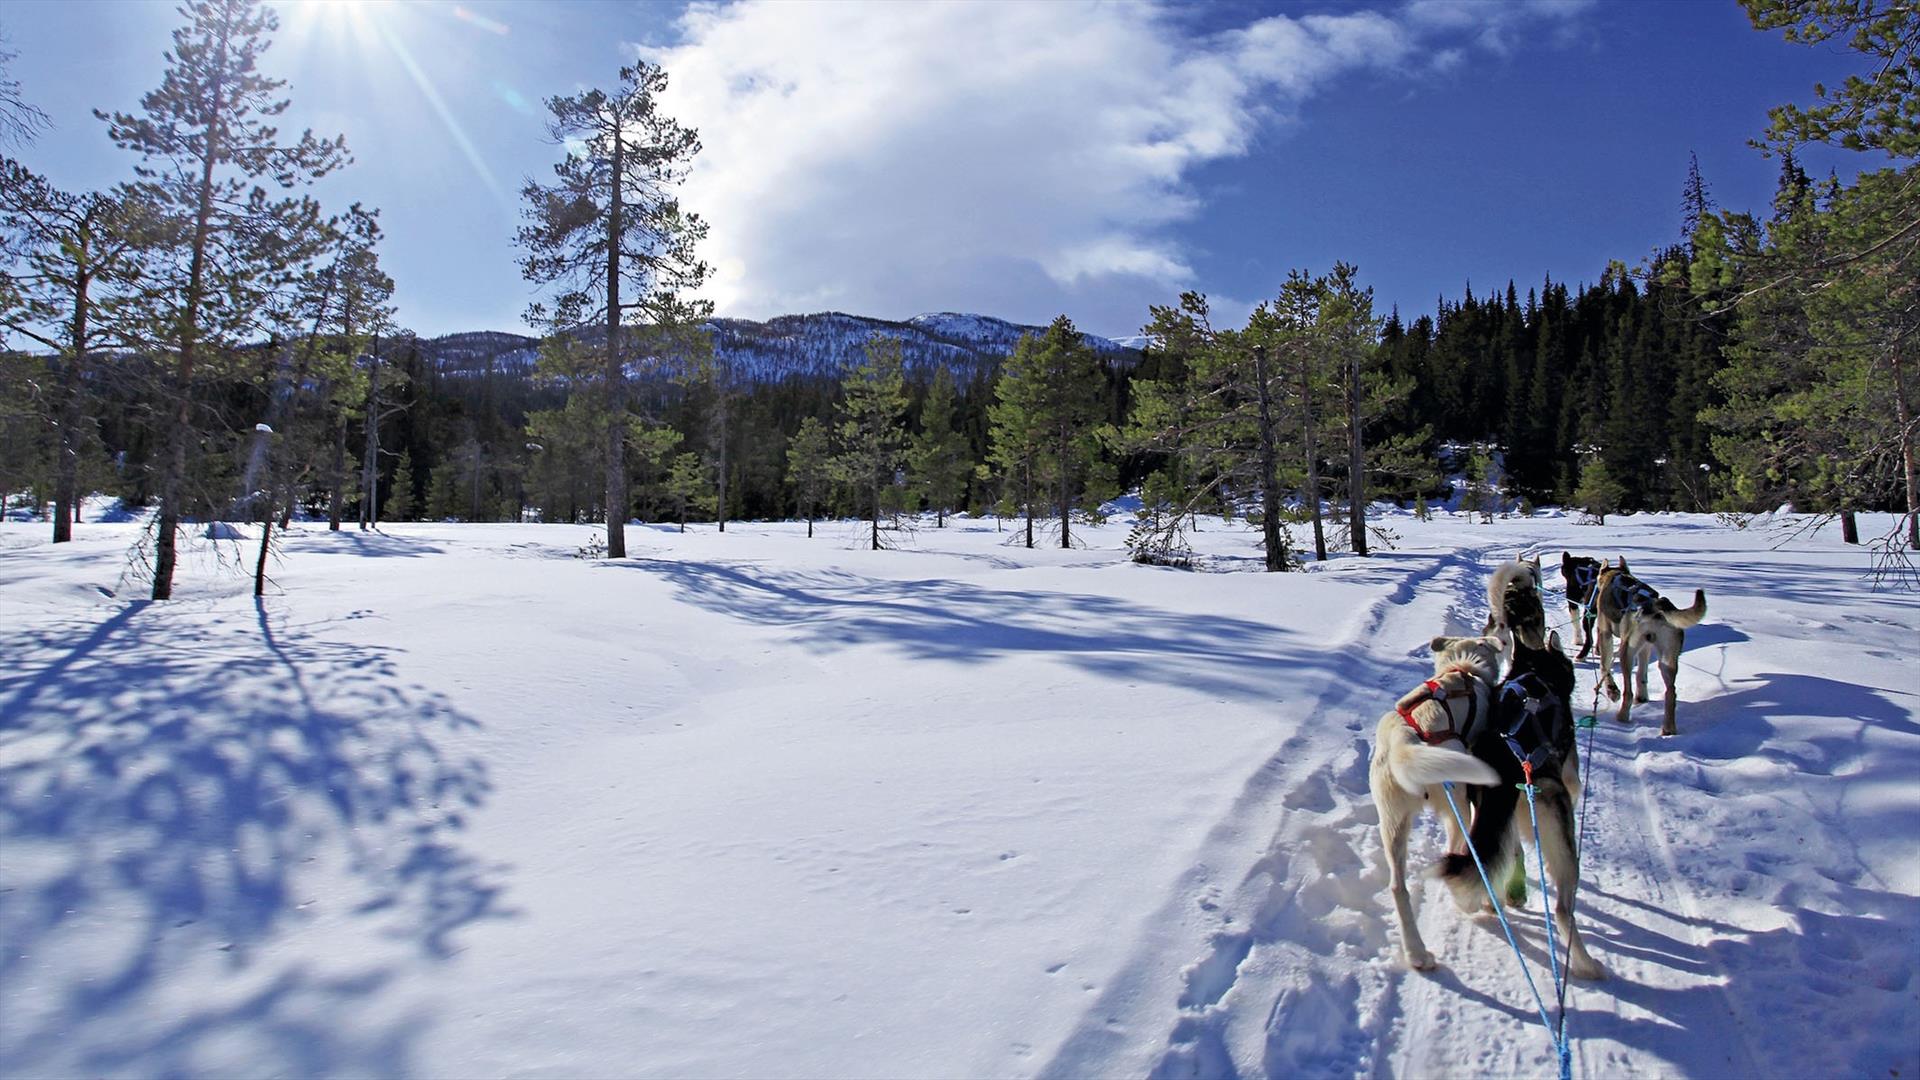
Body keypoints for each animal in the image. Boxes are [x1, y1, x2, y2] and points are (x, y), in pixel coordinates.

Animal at [1374, 630, 1505, 968]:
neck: (1462, 669)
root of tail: (1405, 738)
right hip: (1456, 805)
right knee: (1456, 850)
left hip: (1392, 822)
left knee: (1398, 886)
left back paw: (1416, 953)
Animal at [1443, 626, 1605, 980]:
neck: (1535, 673)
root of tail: (1508, 760)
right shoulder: (1570, 777)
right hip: (1562, 841)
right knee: (1562, 911)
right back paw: (1588, 965)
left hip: (1488, 817)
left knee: (1491, 862)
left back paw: (1493, 901)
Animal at [1589, 553, 1712, 730]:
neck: (1615, 576)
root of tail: (1655, 605)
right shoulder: (1645, 647)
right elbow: (1642, 674)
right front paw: (1642, 697)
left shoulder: (1604, 633)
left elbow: (1605, 666)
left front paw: (1612, 691)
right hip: (1667, 659)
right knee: (1670, 692)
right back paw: (1668, 729)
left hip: (1627, 651)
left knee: (1628, 692)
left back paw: (1622, 717)